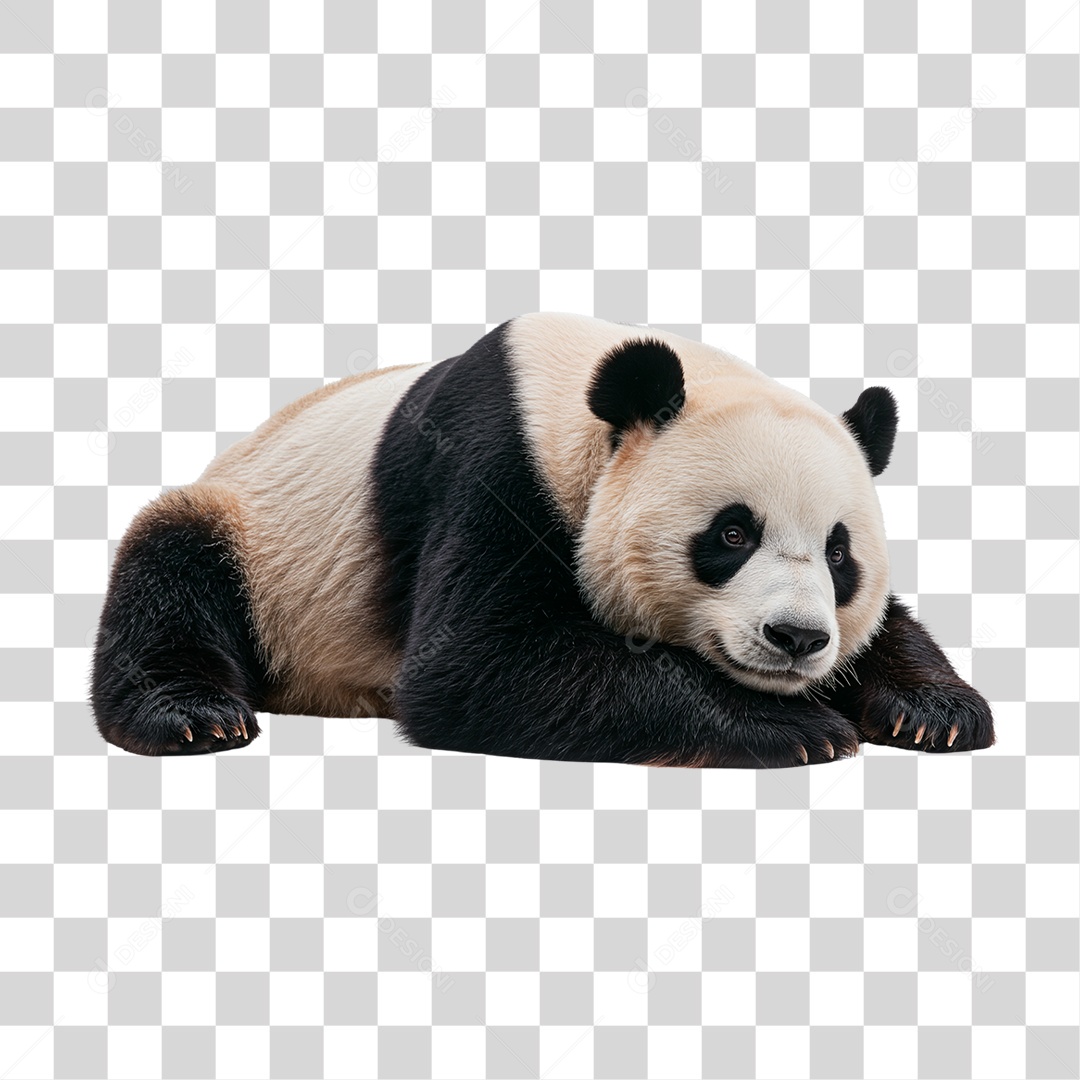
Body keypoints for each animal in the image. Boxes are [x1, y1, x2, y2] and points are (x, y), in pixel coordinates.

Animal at [91, 312, 994, 767]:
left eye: (841, 554)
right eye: (733, 532)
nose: (799, 639)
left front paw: (934, 711)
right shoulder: (493, 467)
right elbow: (474, 667)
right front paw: (796, 727)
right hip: (254, 537)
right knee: (170, 573)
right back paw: (195, 717)